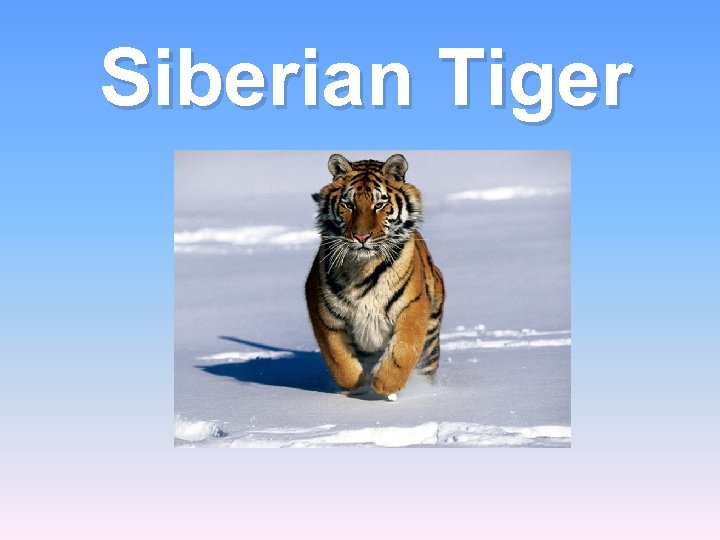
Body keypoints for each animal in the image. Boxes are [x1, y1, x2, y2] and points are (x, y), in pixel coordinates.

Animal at [305, 153, 445, 397]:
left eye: (379, 204)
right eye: (348, 204)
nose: (361, 236)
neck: (363, 267)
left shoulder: (413, 305)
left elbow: (405, 347)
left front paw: (385, 384)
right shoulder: (324, 314)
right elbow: (338, 358)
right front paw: (357, 385)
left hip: (430, 339)